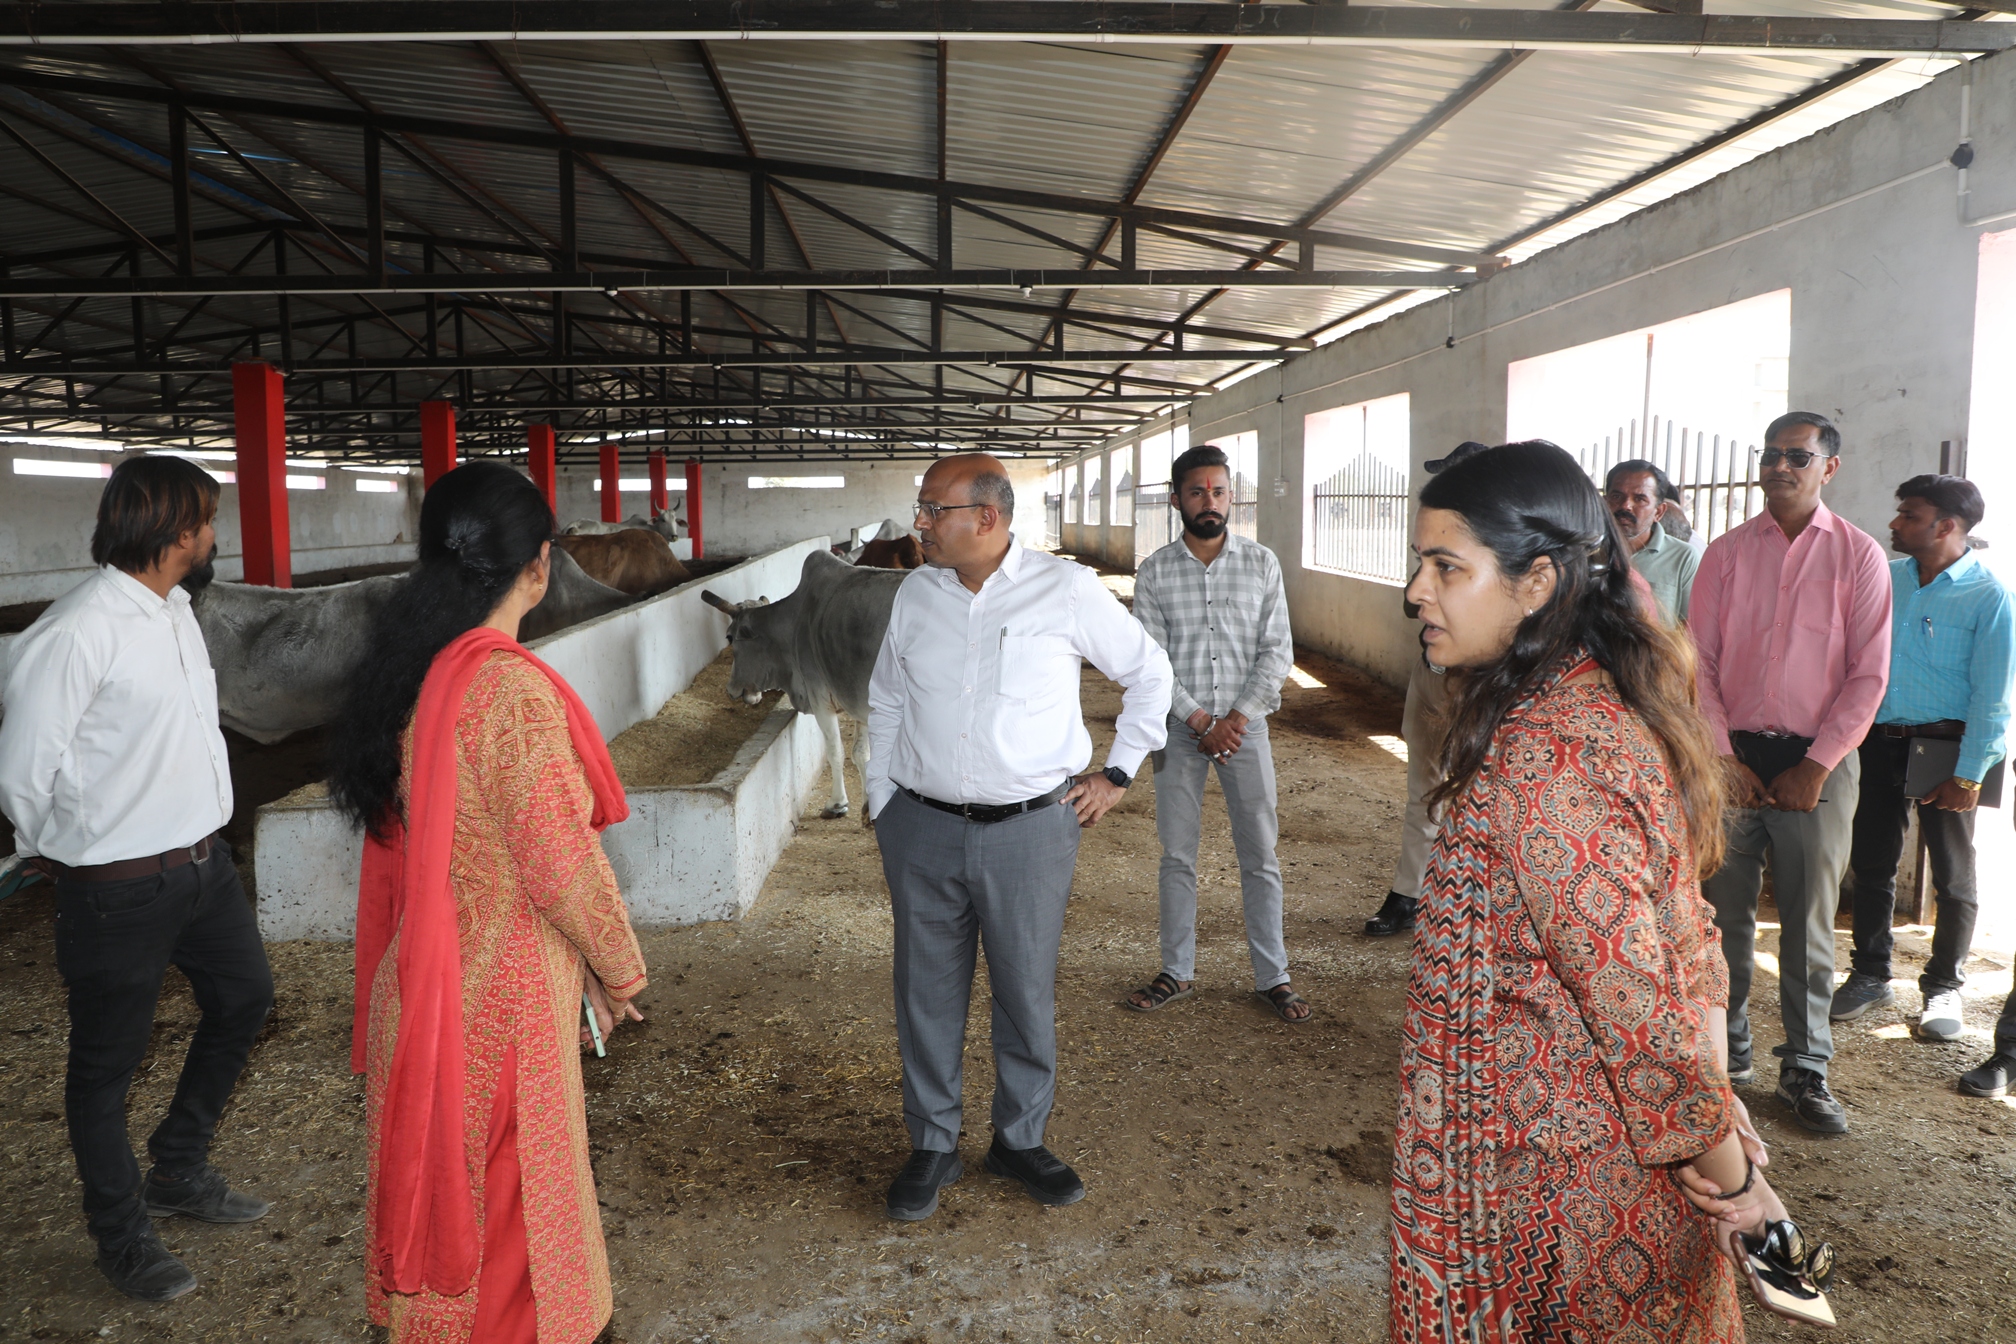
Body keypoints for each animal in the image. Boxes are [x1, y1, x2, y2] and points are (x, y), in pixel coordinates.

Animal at [701, 548, 907, 822]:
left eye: (729, 637)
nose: (730, 688)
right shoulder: (859, 701)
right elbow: (862, 753)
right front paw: (868, 807)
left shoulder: (819, 697)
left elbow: (835, 751)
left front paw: (837, 804)